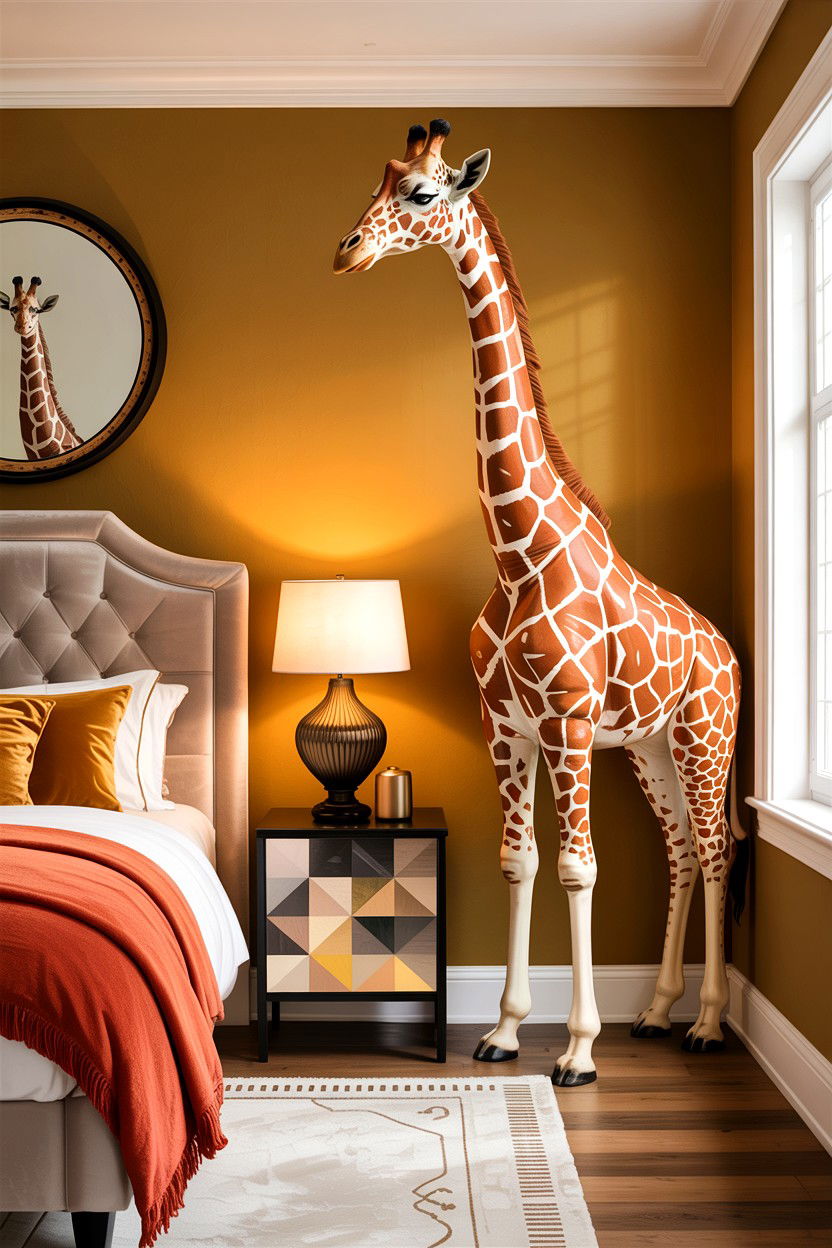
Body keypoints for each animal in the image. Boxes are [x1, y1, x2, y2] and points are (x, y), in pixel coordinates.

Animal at [334, 120, 745, 1086]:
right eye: (377, 184)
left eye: (421, 195)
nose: (348, 250)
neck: (519, 553)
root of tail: (730, 652)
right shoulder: (506, 724)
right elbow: (519, 861)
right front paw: (505, 1030)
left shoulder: (566, 721)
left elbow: (577, 869)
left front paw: (579, 1050)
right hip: (649, 751)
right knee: (678, 847)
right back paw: (659, 1012)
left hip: (703, 740)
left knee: (715, 847)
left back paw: (708, 1024)